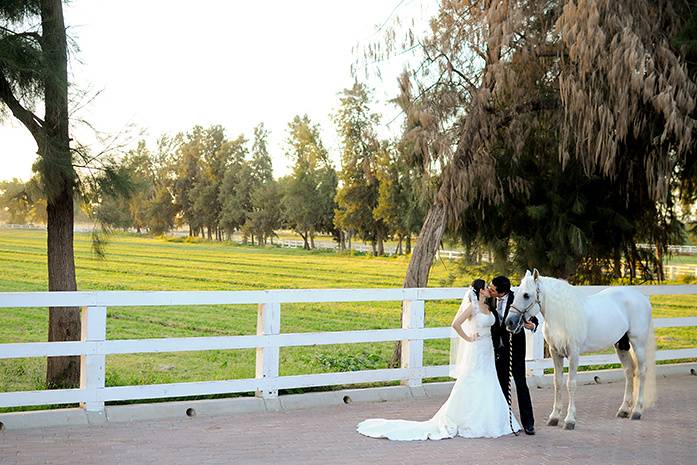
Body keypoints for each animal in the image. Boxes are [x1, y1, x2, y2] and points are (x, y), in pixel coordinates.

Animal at [502, 270, 656, 430]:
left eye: (526, 295)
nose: (509, 322)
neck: (563, 316)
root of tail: (642, 298)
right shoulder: (555, 353)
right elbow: (558, 382)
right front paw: (554, 417)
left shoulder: (573, 354)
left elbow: (571, 384)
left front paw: (570, 420)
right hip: (621, 345)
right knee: (629, 372)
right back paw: (624, 410)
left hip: (638, 344)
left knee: (642, 372)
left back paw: (637, 411)